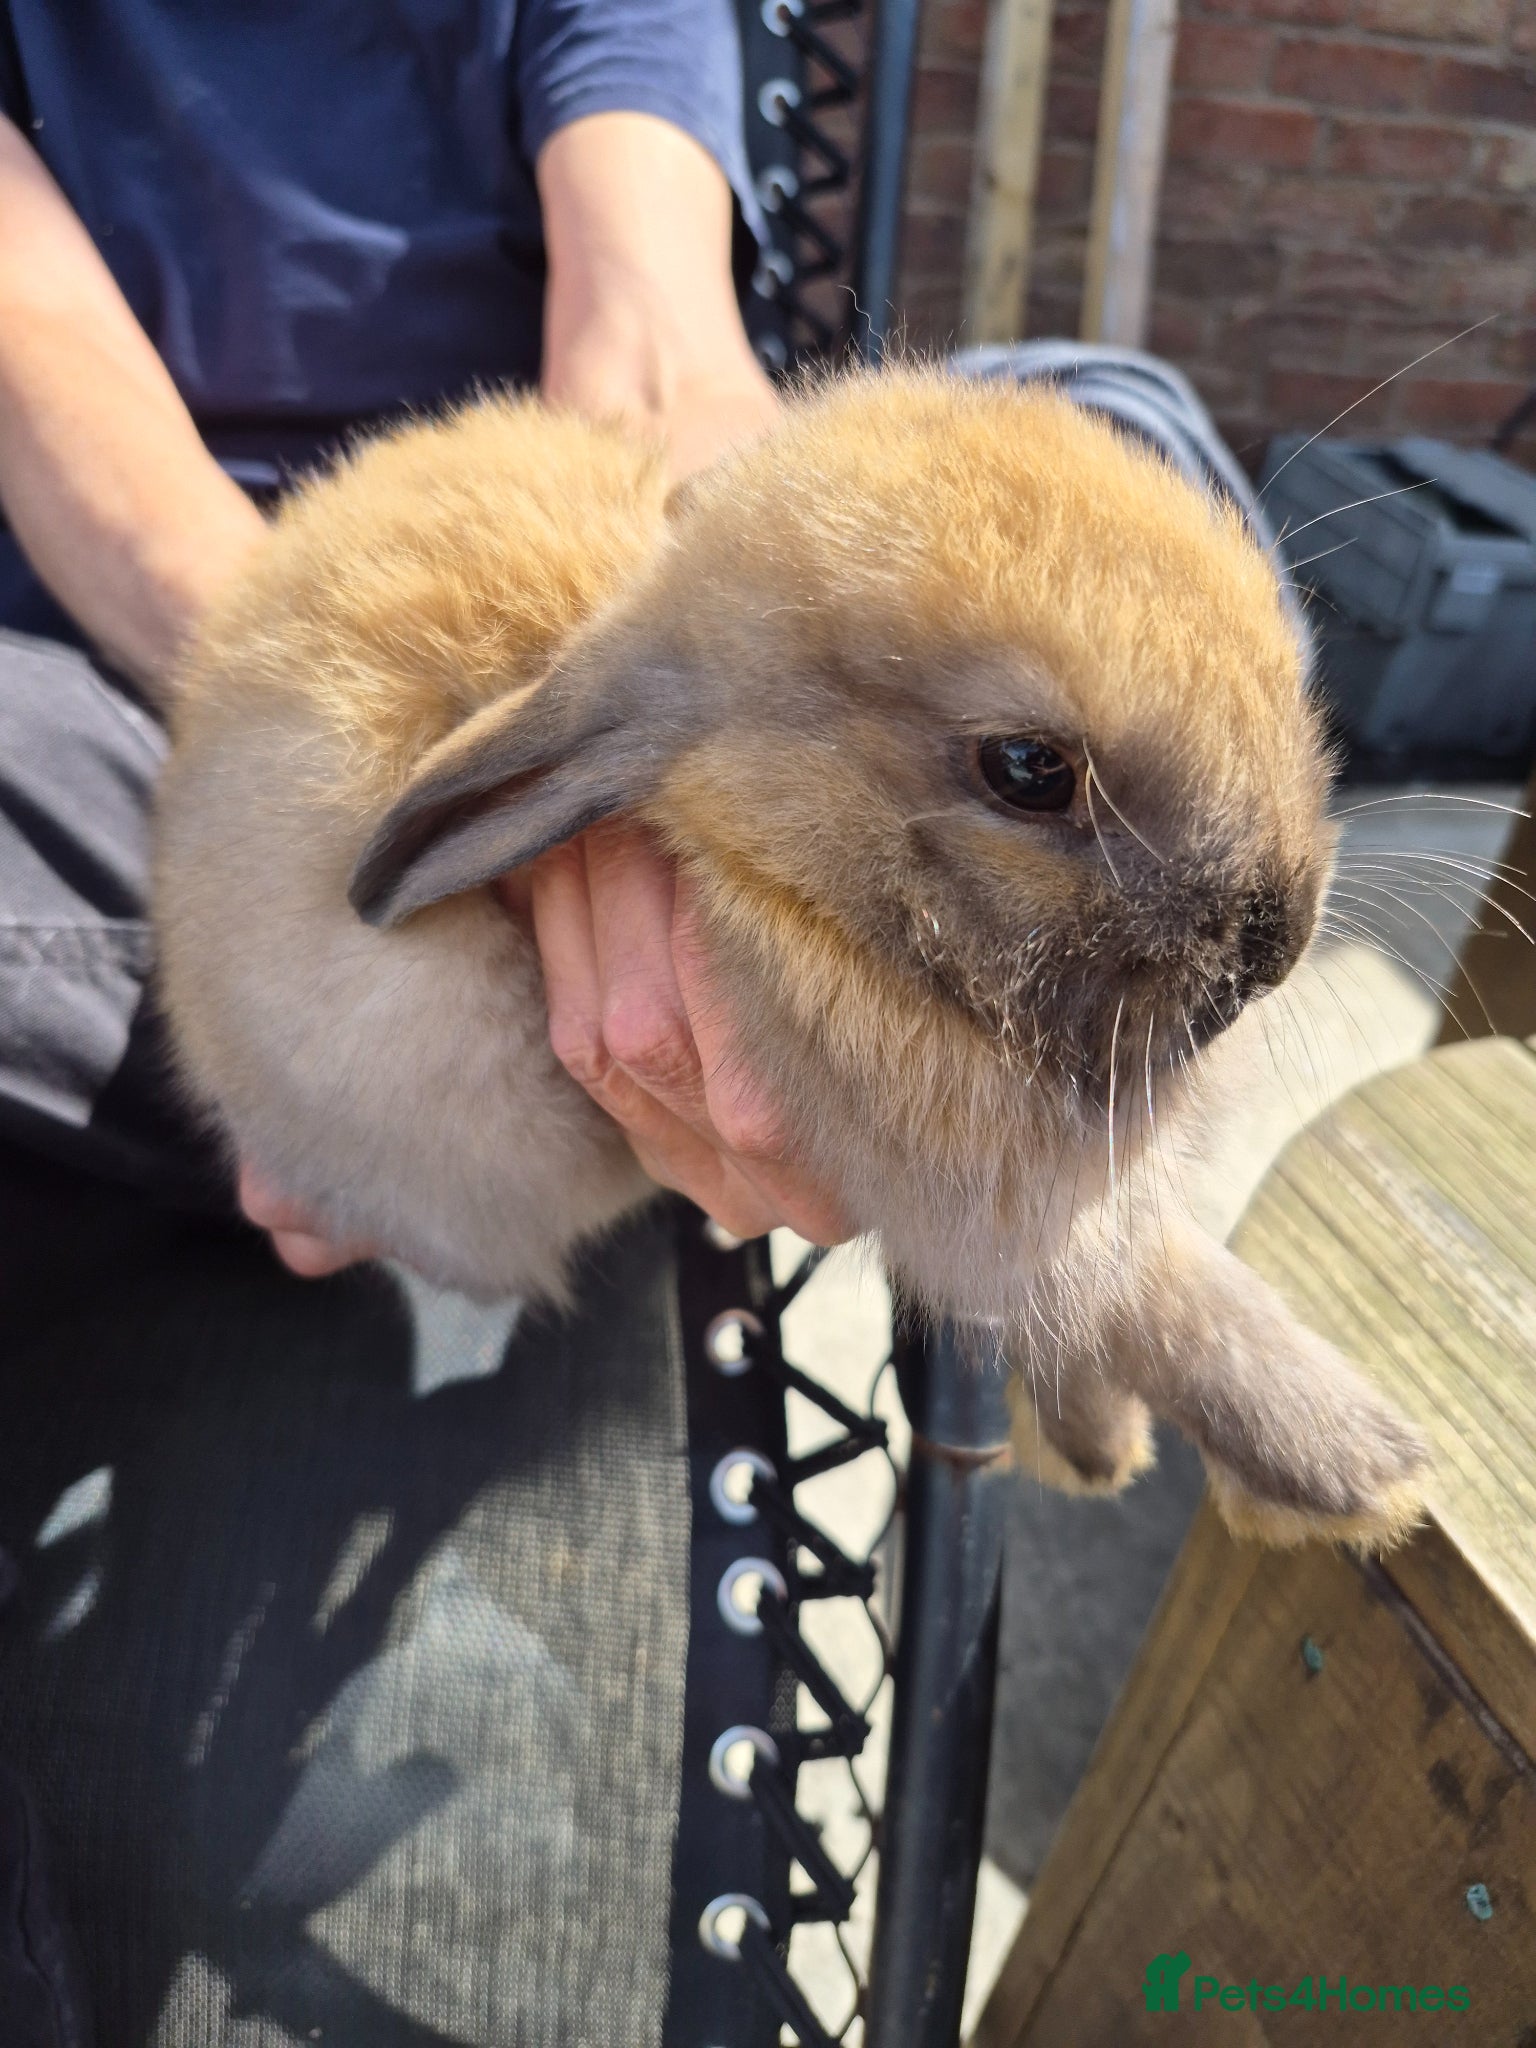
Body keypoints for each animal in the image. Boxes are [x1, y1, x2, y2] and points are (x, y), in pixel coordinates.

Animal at [154, 368, 1430, 1550]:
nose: (1282, 938)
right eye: (1027, 767)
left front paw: (1101, 1447)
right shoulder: (989, 1213)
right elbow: (1156, 1296)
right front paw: (1363, 1468)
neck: (782, 876)